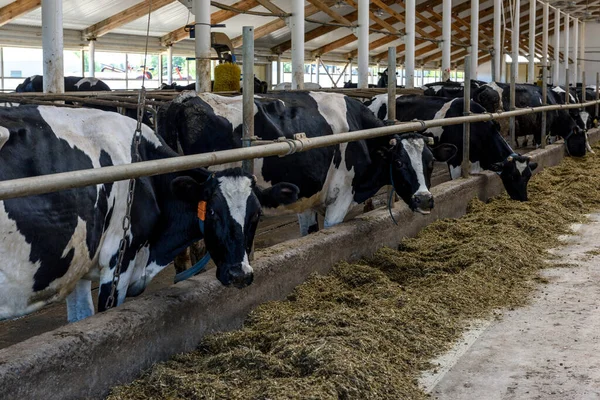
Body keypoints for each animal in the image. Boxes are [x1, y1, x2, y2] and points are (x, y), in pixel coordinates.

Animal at [157, 90, 458, 234]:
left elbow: (308, 231)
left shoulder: (307, 198)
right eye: (400, 163)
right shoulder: (340, 196)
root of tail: (184, 100)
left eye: (430, 163)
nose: (425, 200)